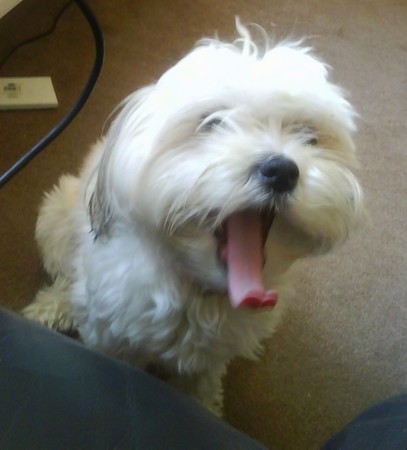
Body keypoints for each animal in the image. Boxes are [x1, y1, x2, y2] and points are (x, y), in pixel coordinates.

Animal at [23, 22, 364, 414]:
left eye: (309, 136)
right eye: (213, 122)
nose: (281, 170)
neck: (199, 291)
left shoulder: (212, 354)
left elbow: (201, 383)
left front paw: (204, 407)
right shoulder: (112, 334)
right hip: (57, 217)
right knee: (66, 273)